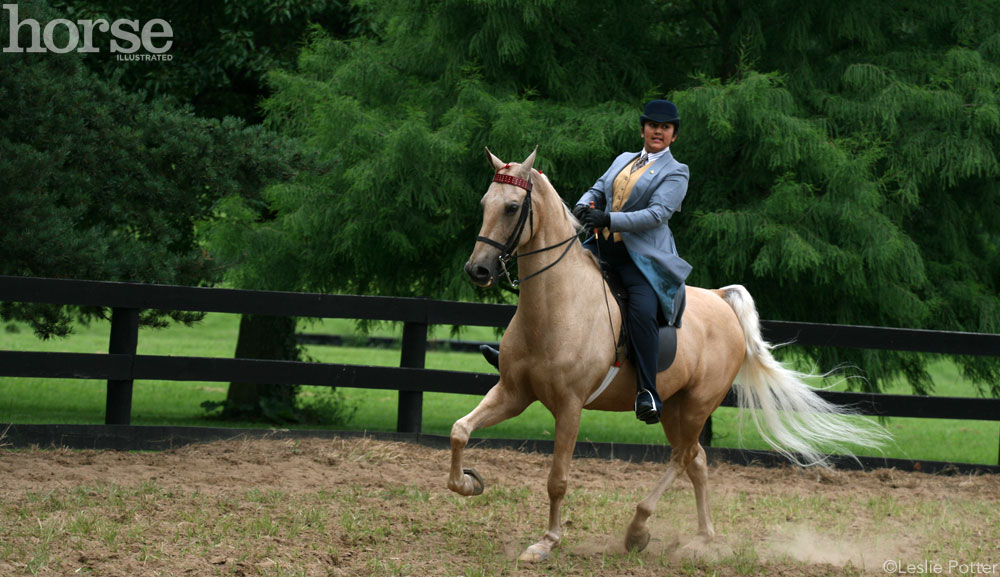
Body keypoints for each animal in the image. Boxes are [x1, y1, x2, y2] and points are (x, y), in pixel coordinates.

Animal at [450, 146, 888, 560]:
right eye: (484, 203)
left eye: (512, 207)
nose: (478, 270)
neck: (557, 304)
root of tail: (719, 299)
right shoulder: (514, 392)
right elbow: (460, 431)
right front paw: (469, 483)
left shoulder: (570, 406)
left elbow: (557, 479)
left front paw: (547, 542)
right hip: (673, 407)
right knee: (697, 461)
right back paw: (702, 537)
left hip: (696, 405)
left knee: (683, 456)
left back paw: (638, 530)